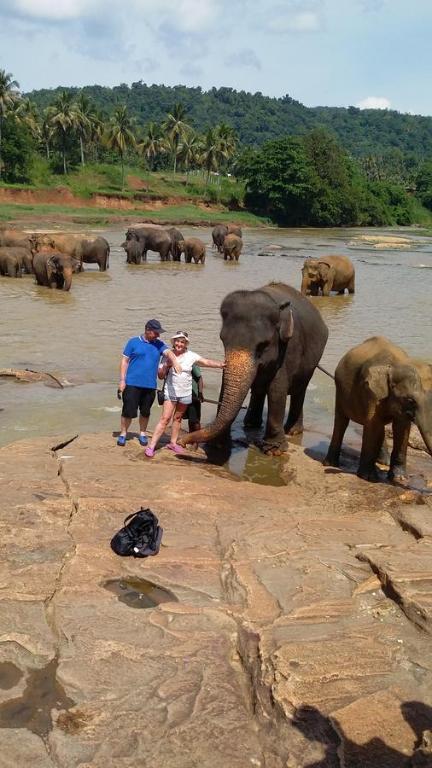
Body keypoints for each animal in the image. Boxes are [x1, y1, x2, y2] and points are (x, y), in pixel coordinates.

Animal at [181, 284, 330, 452]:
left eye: (263, 345)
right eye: (222, 340)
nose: (182, 441)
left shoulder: (288, 349)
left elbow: (277, 389)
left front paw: (274, 450)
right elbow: (226, 384)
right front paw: (218, 445)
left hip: (312, 361)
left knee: (300, 389)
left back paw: (292, 431)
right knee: (260, 390)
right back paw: (251, 424)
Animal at [324, 336, 432, 480]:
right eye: (411, 401)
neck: (394, 365)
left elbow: (401, 428)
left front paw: (399, 478)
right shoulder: (370, 392)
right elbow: (373, 424)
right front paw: (368, 477)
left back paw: (383, 462)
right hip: (340, 391)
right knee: (342, 421)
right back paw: (330, 463)